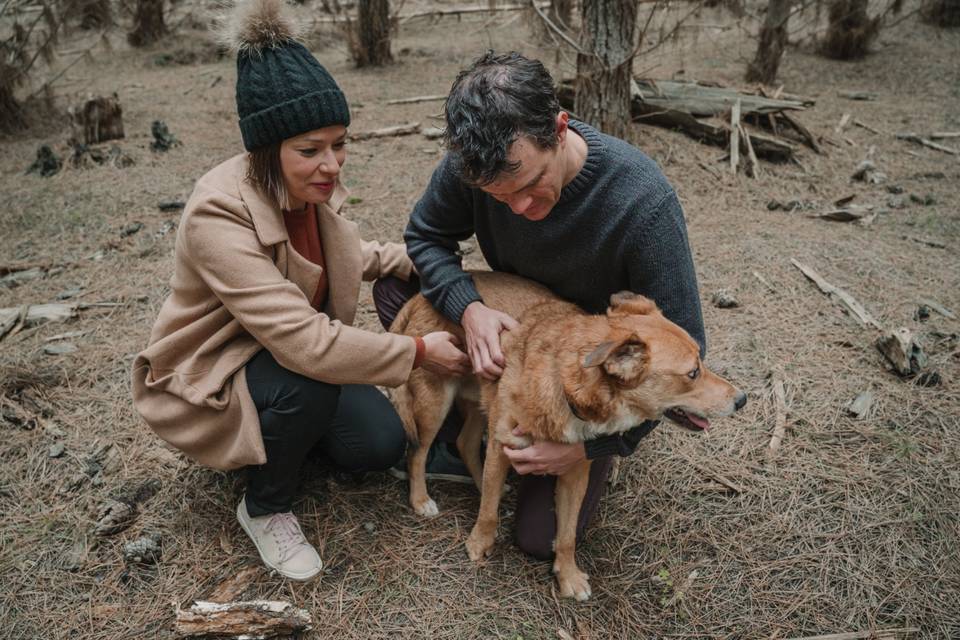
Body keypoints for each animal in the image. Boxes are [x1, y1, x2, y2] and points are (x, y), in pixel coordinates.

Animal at [386, 270, 748, 600]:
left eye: (701, 359)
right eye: (692, 372)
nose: (742, 399)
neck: (566, 384)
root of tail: (419, 297)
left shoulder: (575, 472)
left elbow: (567, 534)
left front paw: (568, 575)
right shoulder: (504, 445)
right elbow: (487, 512)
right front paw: (479, 543)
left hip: (481, 398)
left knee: (466, 444)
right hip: (435, 402)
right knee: (418, 452)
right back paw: (421, 499)